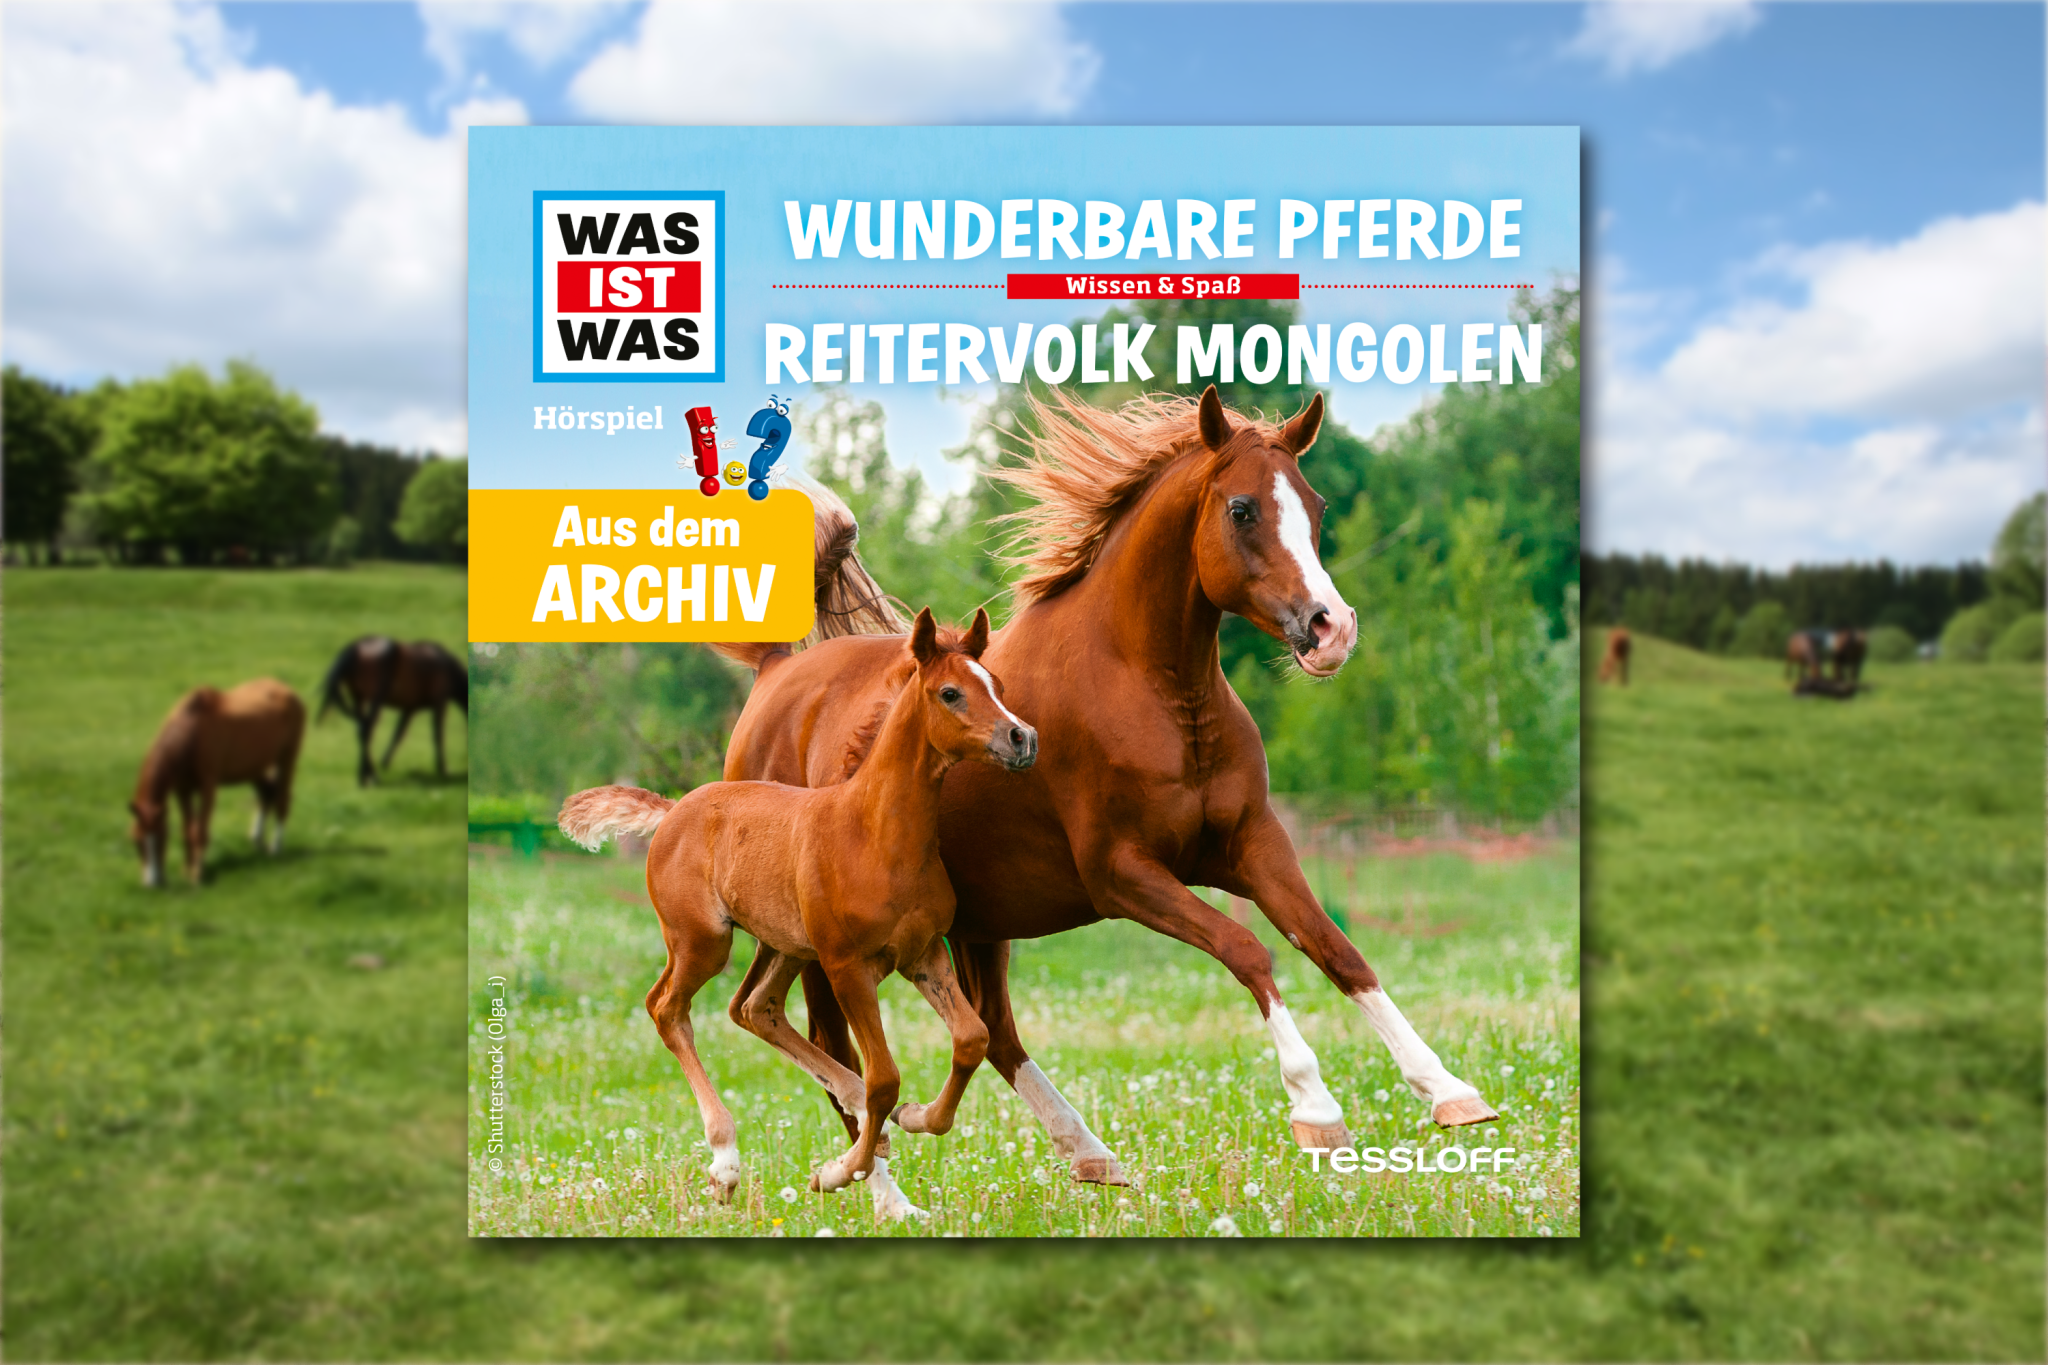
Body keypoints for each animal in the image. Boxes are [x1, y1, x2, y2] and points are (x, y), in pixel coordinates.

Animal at [129, 679, 304, 886]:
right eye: (136, 840)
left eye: (162, 839)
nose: (153, 883)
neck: (191, 732)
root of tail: (288, 690)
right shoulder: (183, 790)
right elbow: (187, 830)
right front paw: (187, 869)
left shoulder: (208, 788)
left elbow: (200, 831)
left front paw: (197, 874)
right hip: (255, 766)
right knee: (266, 793)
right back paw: (257, 839)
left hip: (287, 758)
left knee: (281, 800)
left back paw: (276, 848)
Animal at [317, 637, 467, 785]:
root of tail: (355, 649)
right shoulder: (440, 702)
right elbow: (438, 735)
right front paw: (443, 769)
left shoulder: (409, 709)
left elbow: (398, 734)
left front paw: (385, 762)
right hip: (376, 699)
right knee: (367, 729)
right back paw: (370, 777)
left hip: (359, 698)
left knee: (361, 729)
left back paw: (366, 775)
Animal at [560, 608, 1036, 1219]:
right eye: (950, 692)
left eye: (995, 684)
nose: (1022, 738)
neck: (875, 833)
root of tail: (674, 810)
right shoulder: (846, 966)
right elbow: (885, 1076)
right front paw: (837, 1172)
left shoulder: (923, 953)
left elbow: (971, 1039)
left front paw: (913, 1118)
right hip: (703, 941)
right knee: (667, 1007)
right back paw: (726, 1162)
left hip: (785, 945)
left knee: (754, 1007)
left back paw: (855, 1110)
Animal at [713, 386, 1498, 1188]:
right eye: (1242, 508)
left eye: (1315, 504)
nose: (1330, 627)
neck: (1153, 691)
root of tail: (776, 672)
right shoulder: (1122, 873)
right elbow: (1248, 950)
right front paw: (1316, 1108)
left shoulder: (1252, 845)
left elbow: (1337, 950)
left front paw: (1449, 1090)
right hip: (826, 940)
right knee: (831, 1044)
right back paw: (876, 1184)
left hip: (978, 921)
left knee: (991, 1030)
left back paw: (1086, 1151)